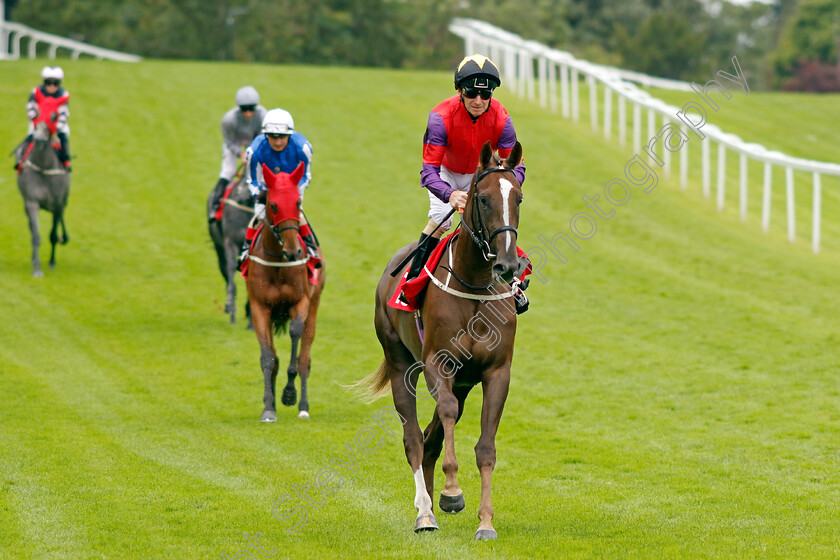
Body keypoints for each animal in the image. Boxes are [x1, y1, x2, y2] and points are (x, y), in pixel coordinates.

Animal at [16, 121, 70, 278]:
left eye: (53, 118)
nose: (39, 139)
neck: (44, 168)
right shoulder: (32, 202)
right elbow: (36, 236)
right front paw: (37, 269)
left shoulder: (58, 205)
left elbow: (53, 235)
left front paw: (52, 262)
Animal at [207, 173, 253, 326]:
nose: (244, 195)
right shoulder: (230, 243)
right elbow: (231, 274)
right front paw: (232, 313)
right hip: (219, 248)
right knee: (225, 270)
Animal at [246, 164, 324, 422]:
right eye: (273, 205)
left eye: (297, 203)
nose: (293, 251)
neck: (279, 263)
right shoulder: (260, 307)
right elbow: (268, 358)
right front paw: (268, 408)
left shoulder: (301, 301)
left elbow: (295, 336)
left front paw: (289, 393)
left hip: (314, 306)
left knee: (305, 358)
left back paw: (303, 406)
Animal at [360, 141, 524, 544]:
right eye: (482, 198)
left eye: (519, 198)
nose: (507, 265)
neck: (475, 284)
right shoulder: (438, 363)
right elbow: (444, 416)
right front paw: (451, 493)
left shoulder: (496, 372)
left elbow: (486, 448)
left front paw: (485, 522)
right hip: (401, 362)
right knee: (414, 439)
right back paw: (425, 513)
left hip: (463, 383)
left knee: (431, 437)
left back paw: (430, 504)